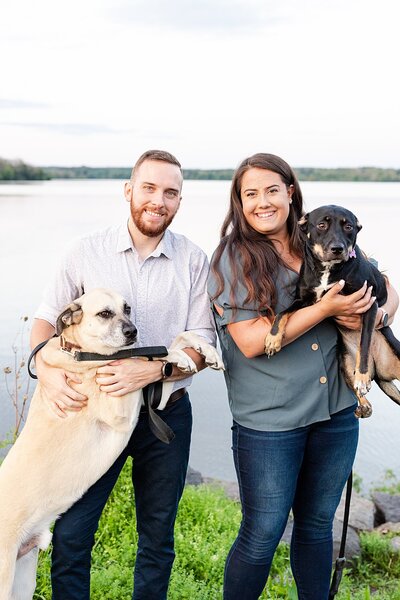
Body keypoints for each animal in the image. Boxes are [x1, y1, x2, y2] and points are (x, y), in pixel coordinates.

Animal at [264, 205, 398, 418]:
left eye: (348, 226)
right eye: (321, 225)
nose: (337, 249)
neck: (327, 270)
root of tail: (378, 371)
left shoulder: (370, 305)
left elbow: (365, 342)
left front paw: (362, 376)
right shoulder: (305, 300)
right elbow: (281, 313)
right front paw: (273, 338)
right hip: (345, 365)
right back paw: (364, 406)